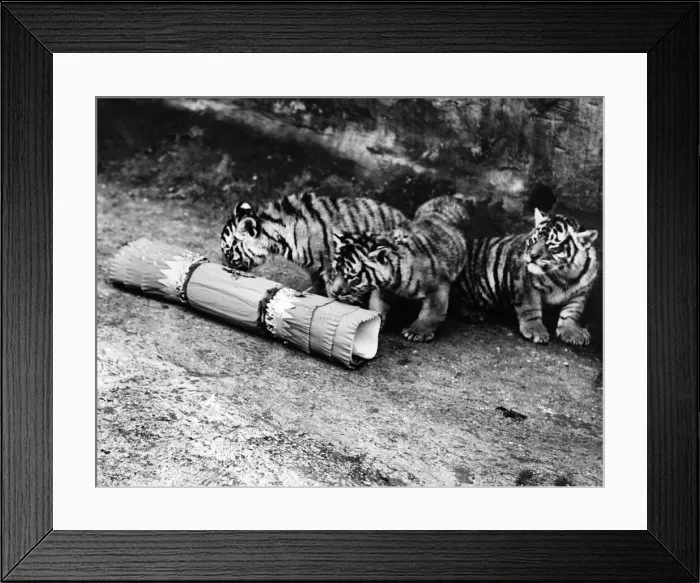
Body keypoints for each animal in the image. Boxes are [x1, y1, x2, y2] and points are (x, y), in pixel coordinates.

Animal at [330, 194, 472, 342]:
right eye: (335, 271)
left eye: (354, 278)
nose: (334, 292)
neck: (394, 279)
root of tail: (452, 197)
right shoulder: (382, 290)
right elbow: (377, 306)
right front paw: (375, 324)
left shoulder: (438, 287)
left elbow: (432, 312)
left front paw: (417, 332)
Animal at [453, 208, 599, 345]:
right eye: (534, 240)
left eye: (552, 246)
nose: (532, 255)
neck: (565, 274)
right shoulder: (526, 285)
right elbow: (531, 309)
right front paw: (535, 330)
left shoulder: (581, 292)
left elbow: (572, 311)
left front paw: (572, 331)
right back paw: (475, 313)